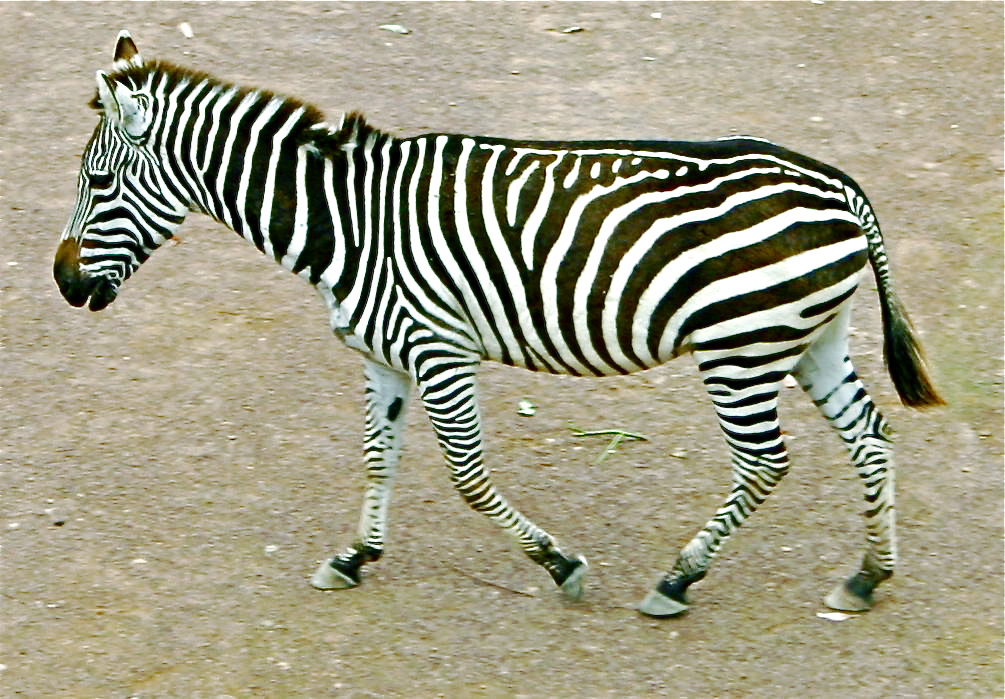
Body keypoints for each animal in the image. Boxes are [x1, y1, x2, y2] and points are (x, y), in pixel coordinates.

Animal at [54, 31, 943, 618]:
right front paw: (356, 556)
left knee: (764, 461)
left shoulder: (439, 349)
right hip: (807, 336)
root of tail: (836, 184)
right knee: (869, 437)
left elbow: (467, 476)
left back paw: (677, 579)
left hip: (739, 344)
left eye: (98, 183)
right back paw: (866, 576)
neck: (346, 218)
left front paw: (558, 563)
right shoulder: (383, 356)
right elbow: (377, 458)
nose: (61, 283)